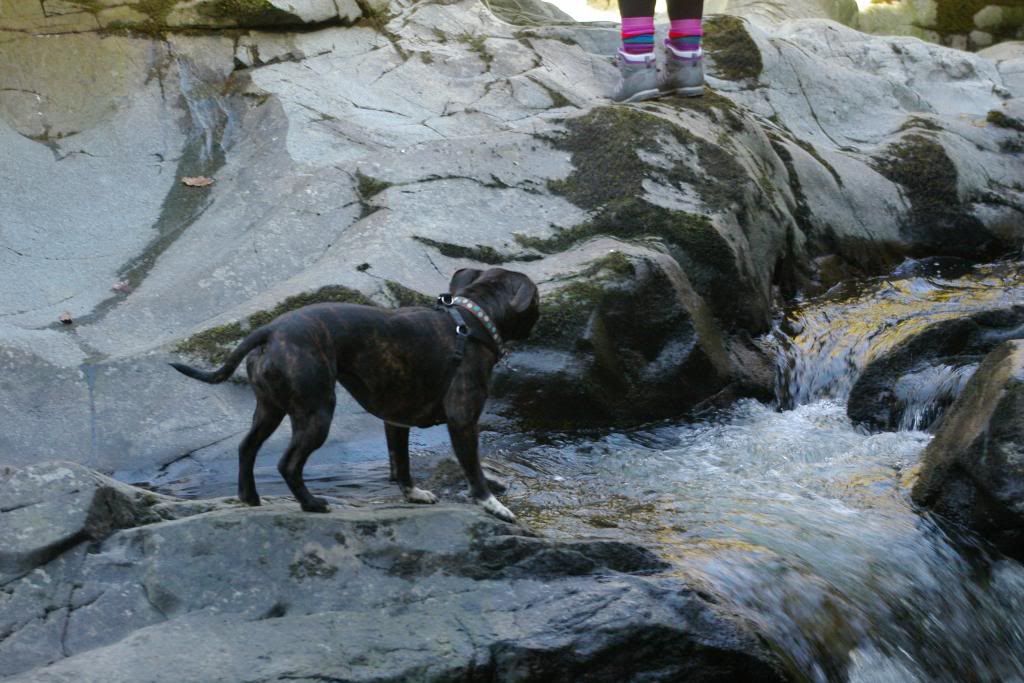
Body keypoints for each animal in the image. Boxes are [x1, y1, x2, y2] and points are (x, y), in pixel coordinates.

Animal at [172, 268, 540, 524]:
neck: (471, 320)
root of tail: (271, 331)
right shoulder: (463, 421)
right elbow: (474, 471)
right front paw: (493, 506)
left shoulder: (396, 423)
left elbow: (401, 464)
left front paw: (413, 494)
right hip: (317, 412)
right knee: (288, 463)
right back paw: (311, 504)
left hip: (269, 409)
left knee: (247, 447)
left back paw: (249, 496)